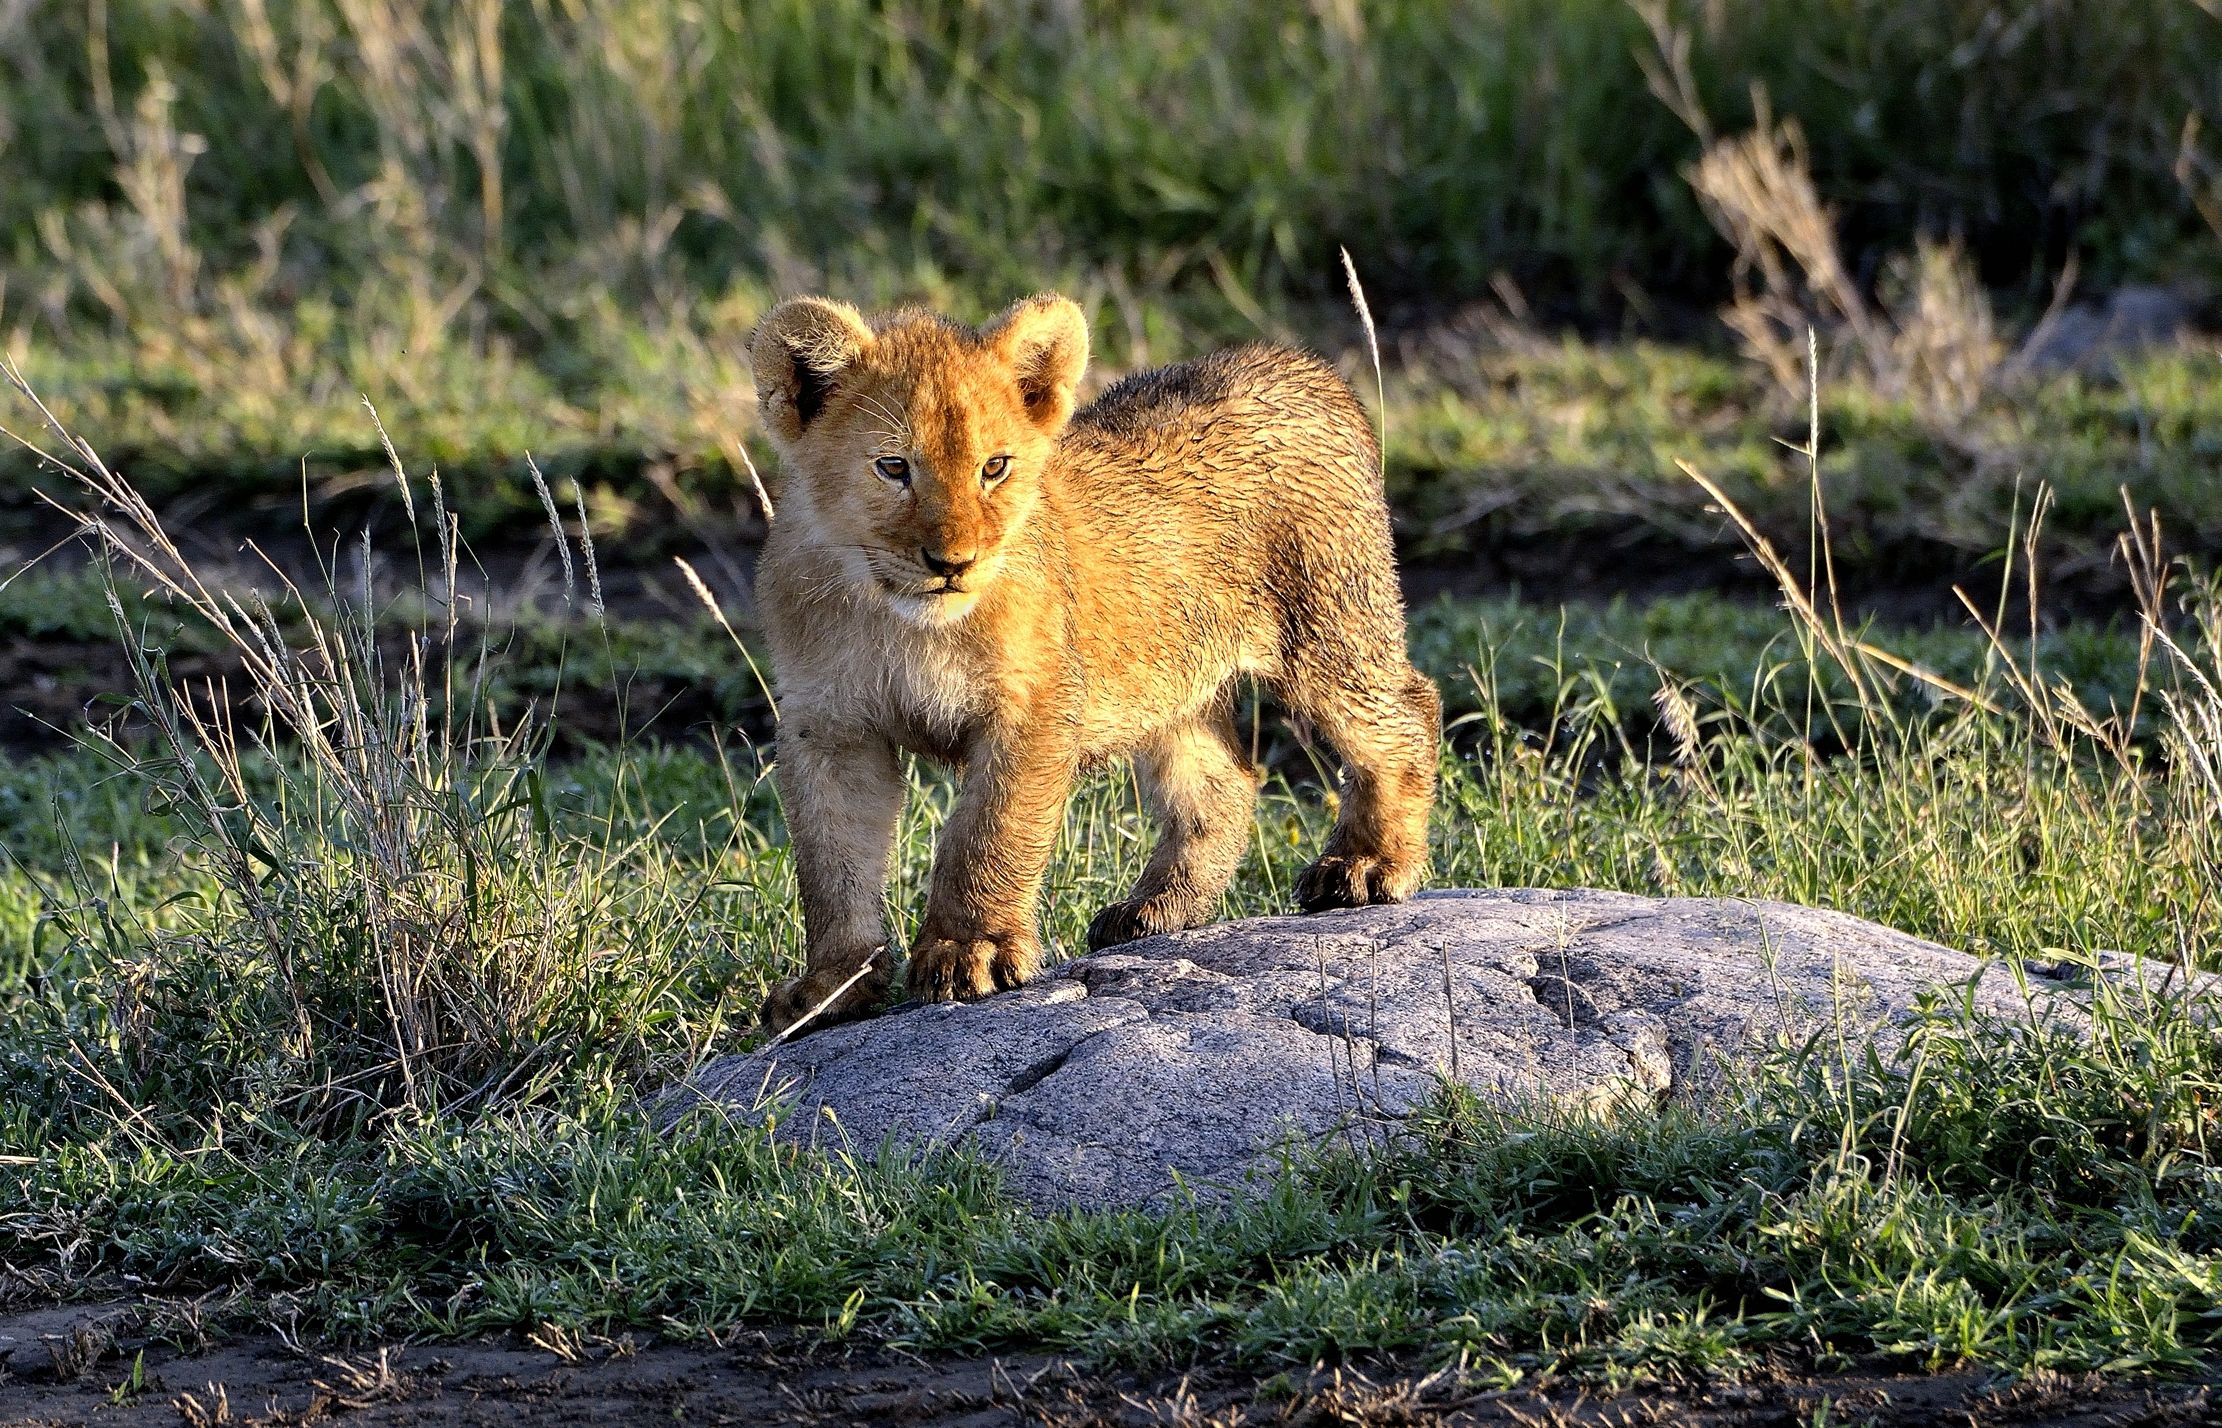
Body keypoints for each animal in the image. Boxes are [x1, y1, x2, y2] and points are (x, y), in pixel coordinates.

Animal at [748, 293, 1440, 1034]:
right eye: (894, 468)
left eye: (994, 467)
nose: (953, 563)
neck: (895, 618)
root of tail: (1298, 365)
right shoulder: (830, 726)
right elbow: (833, 862)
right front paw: (830, 988)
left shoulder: (1034, 709)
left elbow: (988, 833)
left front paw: (970, 952)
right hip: (1172, 679)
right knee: (1224, 781)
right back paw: (1156, 911)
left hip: (1325, 632)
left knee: (1405, 714)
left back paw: (1366, 865)